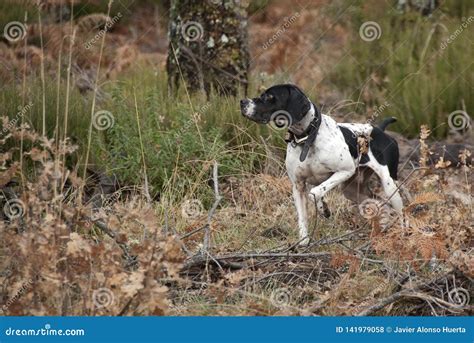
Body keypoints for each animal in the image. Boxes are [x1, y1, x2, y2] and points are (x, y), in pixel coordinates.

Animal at [239, 84, 402, 246]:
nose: (242, 102)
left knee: (400, 211)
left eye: (269, 97)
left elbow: (315, 192)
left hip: (389, 185)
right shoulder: (298, 186)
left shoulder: (345, 170)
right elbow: (302, 218)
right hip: (351, 190)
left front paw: (323, 208)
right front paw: (303, 242)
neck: (308, 137)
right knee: (379, 203)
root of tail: (379, 129)